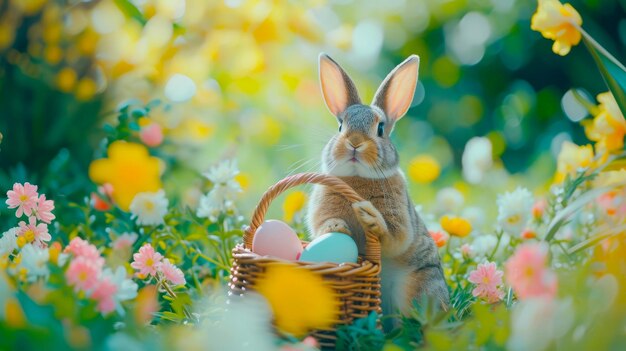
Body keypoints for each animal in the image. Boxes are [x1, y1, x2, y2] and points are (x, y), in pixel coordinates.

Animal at [304, 53, 446, 330]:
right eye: (340, 126)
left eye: (380, 128)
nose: (355, 143)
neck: (357, 177)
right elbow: (324, 225)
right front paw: (336, 227)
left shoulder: (400, 222)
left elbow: (394, 237)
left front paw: (369, 217)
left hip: (417, 285)